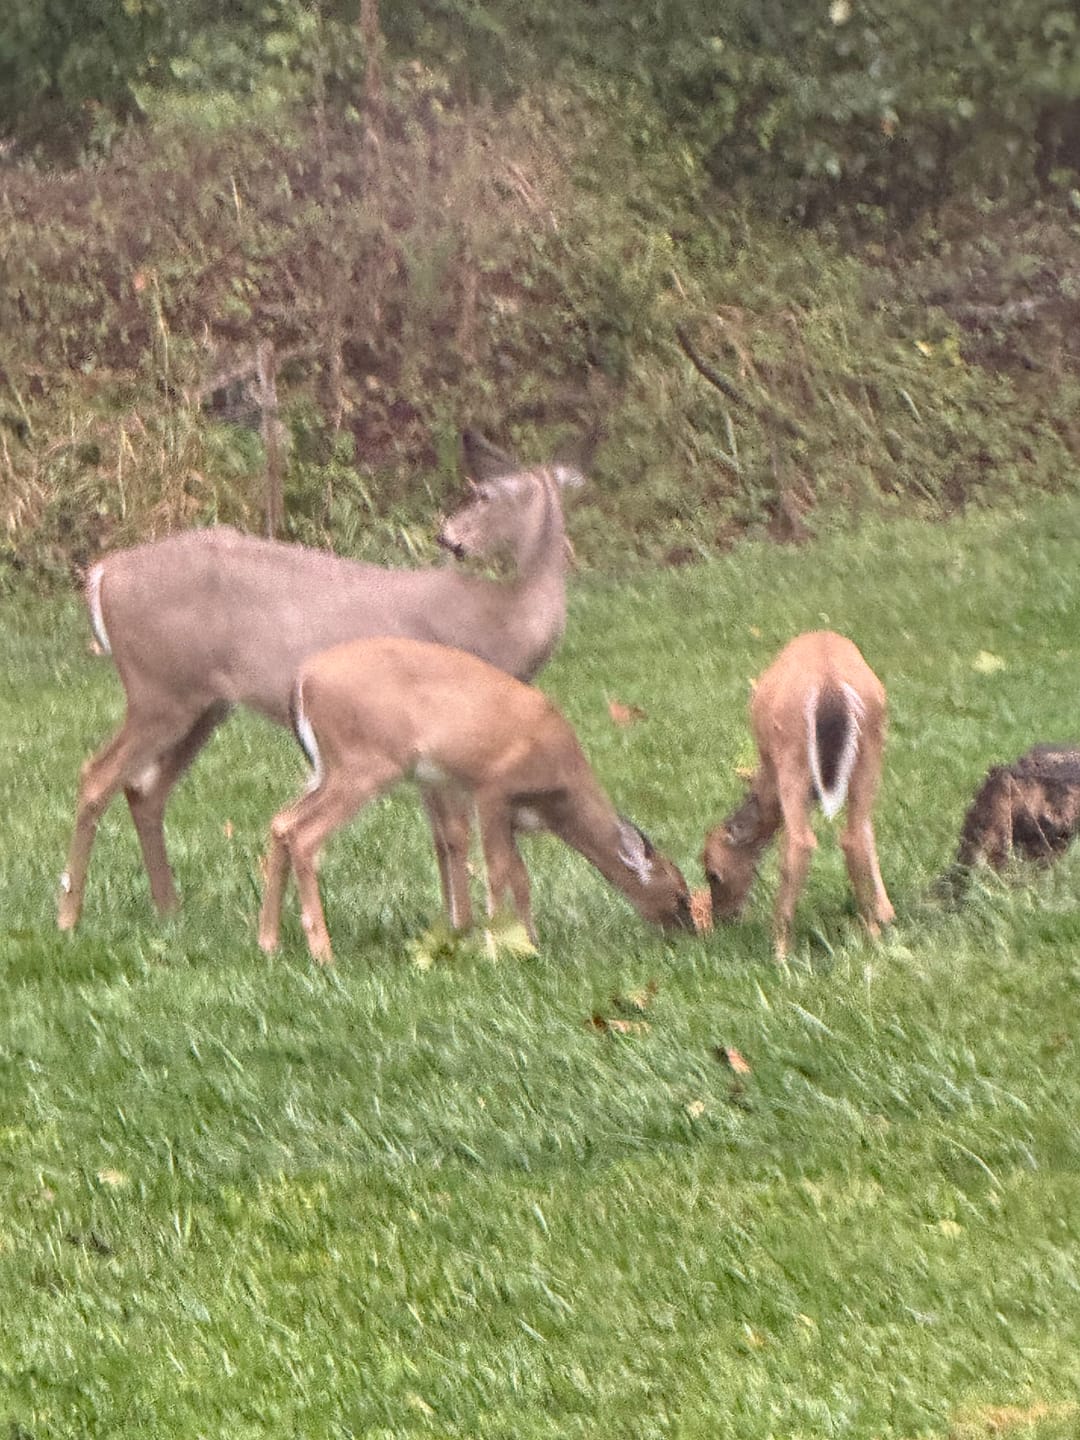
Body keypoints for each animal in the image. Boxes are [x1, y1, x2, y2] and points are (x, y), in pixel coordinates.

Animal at [58, 450, 584, 932]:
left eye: (484, 495)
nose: (446, 536)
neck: (503, 624)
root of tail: (102, 576)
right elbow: (455, 832)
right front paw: (464, 929)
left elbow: (441, 834)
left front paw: (451, 923)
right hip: (159, 688)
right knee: (97, 776)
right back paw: (69, 916)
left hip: (204, 703)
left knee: (144, 789)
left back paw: (169, 911)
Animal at [256, 636, 693, 962]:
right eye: (680, 894)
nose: (688, 933)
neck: (561, 789)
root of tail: (302, 681)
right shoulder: (491, 788)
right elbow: (497, 870)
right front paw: (496, 944)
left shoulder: (504, 810)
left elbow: (520, 876)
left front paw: (528, 939)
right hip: (365, 764)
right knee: (305, 834)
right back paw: (322, 951)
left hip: (327, 769)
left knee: (280, 821)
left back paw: (269, 942)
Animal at [702, 630, 894, 958]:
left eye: (712, 872)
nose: (723, 918)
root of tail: (830, 686)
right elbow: (870, 832)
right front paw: (886, 911)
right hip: (869, 750)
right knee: (855, 835)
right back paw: (873, 932)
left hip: (792, 754)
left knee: (799, 843)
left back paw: (780, 948)